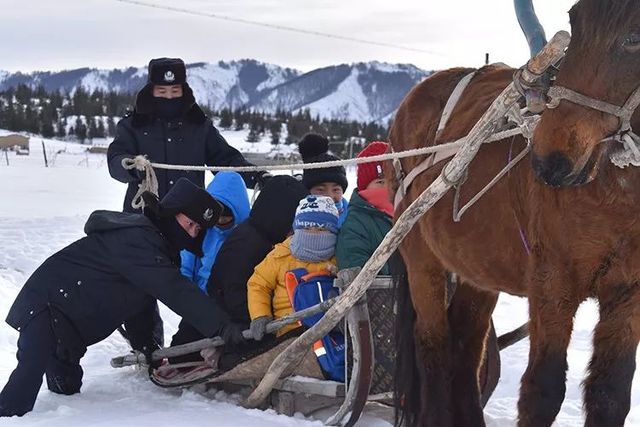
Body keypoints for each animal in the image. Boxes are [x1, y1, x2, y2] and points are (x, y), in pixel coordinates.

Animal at [388, 1, 640, 426]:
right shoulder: (553, 283)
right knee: (434, 346)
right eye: (574, 18)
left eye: (634, 36)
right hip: (422, 258)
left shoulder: (629, 294)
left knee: (466, 347)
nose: (551, 159)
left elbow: (610, 395)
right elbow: (543, 389)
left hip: (477, 268)